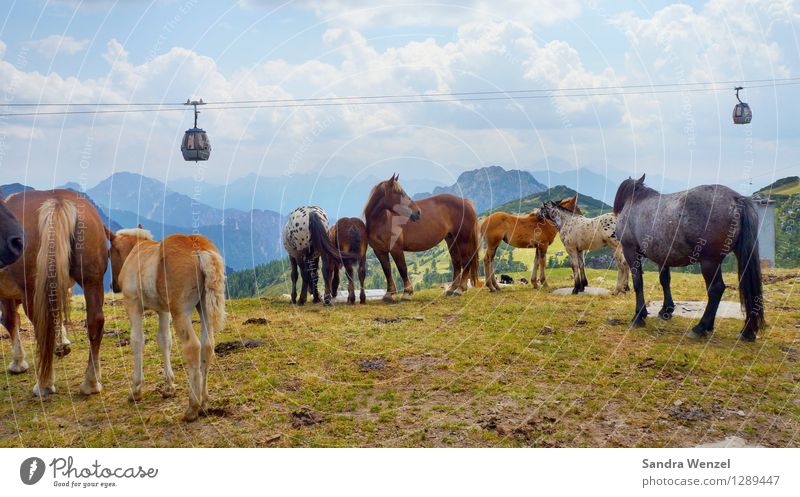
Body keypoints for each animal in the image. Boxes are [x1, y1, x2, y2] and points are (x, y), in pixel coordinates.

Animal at [0, 190, 108, 396]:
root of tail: (57, 201)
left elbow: (10, 320)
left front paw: (18, 363)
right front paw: (62, 343)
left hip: (32, 290)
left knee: (43, 326)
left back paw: (44, 384)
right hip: (92, 278)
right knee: (95, 320)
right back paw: (91, 381)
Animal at [108, 227, 227, 420]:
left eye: (110, 253)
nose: (114, 285)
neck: (137, 252)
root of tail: (199, 249)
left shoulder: (133, 304)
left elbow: (137, 340)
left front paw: (136, 390)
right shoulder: (163, 311)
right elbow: (164, 340)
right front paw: (169, 387)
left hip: (181, 312)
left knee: (193, 347)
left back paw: (192, 407)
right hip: (204, 308)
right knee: (207, 345)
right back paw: (203, 402)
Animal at [364, 174, 482, 302]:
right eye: (400, 193)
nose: (417, 212)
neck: (382, 220)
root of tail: (466, 202)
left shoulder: (396, 249)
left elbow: (402, 269)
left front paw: (407, 293)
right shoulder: (379, 251)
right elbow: (387, 270)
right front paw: (389, 294)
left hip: (463, 239)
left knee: (466, 261)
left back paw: (460, 289)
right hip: (451, 239)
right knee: (456, 262)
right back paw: (452, 289)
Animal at [616, 174, 764, 340]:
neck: (635, 201)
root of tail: (735, 198)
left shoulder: (630, 251)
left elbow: (638, 282)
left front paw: (638, 316)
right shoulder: (663, 256)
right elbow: (664, 280)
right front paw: (666, 310)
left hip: (709, 261)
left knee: (716, 289)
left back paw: (700, 327)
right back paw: (745, 331)